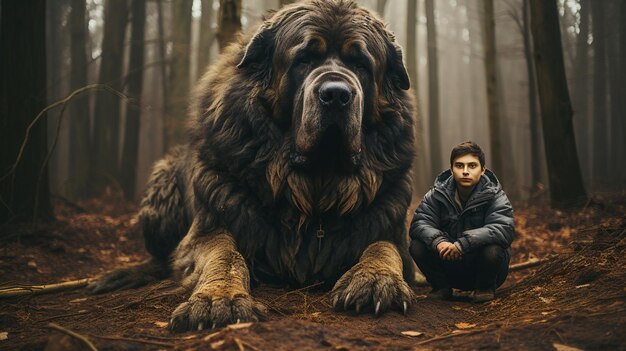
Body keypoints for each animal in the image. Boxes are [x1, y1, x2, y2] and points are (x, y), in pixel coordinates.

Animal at [88, 0, 416, 332]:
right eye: (304, 60)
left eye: (361, 64)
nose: (336, 94)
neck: (312, 188)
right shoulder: (211, 222)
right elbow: (225, 253)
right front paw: (217, 299)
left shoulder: (389, 225)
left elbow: (384, 247)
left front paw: (375, 279)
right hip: (162, 188)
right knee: (160, 256)